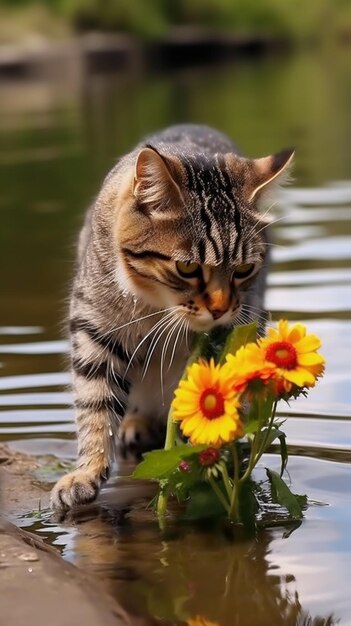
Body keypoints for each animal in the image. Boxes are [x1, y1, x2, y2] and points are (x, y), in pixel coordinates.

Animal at [50, 124, 294, 510]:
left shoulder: (228, 335)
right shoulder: (94, 328)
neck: (157, 306)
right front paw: (87, 472)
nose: (220, 308)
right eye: (188, 268)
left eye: (243, 270)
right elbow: (95, 405)